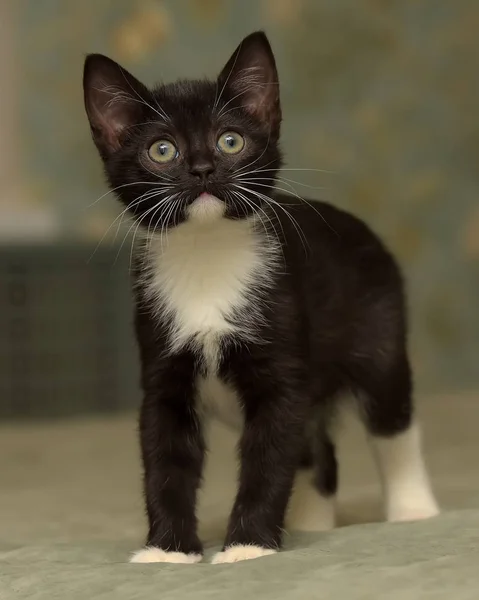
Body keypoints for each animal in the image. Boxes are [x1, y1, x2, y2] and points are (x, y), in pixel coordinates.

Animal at [82, 30, 438, 564]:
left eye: (230, 140)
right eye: (162, 150)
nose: (203, 168)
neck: (208, 256)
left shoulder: (281, 369)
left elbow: (268, 460)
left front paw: (248, 545)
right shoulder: (163, 374)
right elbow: (166, 460)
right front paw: (168, 551)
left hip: (381, 334)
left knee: (393, 420)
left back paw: (414, 509)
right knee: (316, 450)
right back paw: (311, 521)